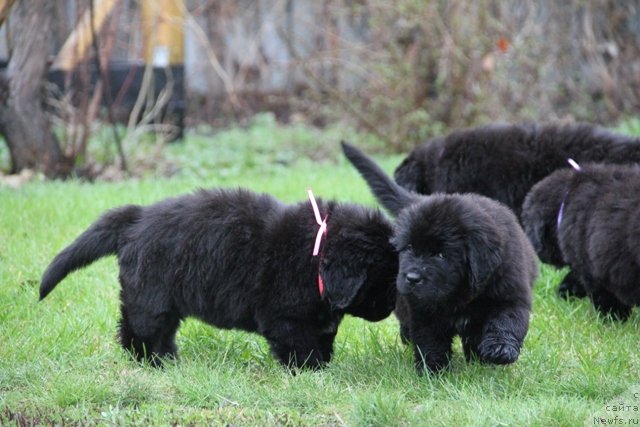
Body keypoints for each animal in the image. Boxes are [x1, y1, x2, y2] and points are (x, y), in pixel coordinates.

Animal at [38, 189, 400, 370]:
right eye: (383, 279)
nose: (391, 308)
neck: (316, 253)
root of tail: (136, 217)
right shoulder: (287, 318)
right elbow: (302, 347)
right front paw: (310, 371)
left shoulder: (318, 318)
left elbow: (324, 339)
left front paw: (323, 366)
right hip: (150, 296)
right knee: (138, 329)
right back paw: (148, 362)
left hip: (166, 302)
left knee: (160, 331)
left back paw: (168, 360)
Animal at [342, 142, 536, 372]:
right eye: (409, 247)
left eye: (442, 255)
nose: (412, 278)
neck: (458, 294)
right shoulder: (422, 309)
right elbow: (429, 339)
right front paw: (433, 370)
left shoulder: (510, 292)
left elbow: (506, 320)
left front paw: (499, 350)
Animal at [520, 162, 640, 320]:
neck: (565, 202)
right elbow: (576, 279)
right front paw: (565, 292)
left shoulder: (591, 267)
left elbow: (604, 296)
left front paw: (613, 318)